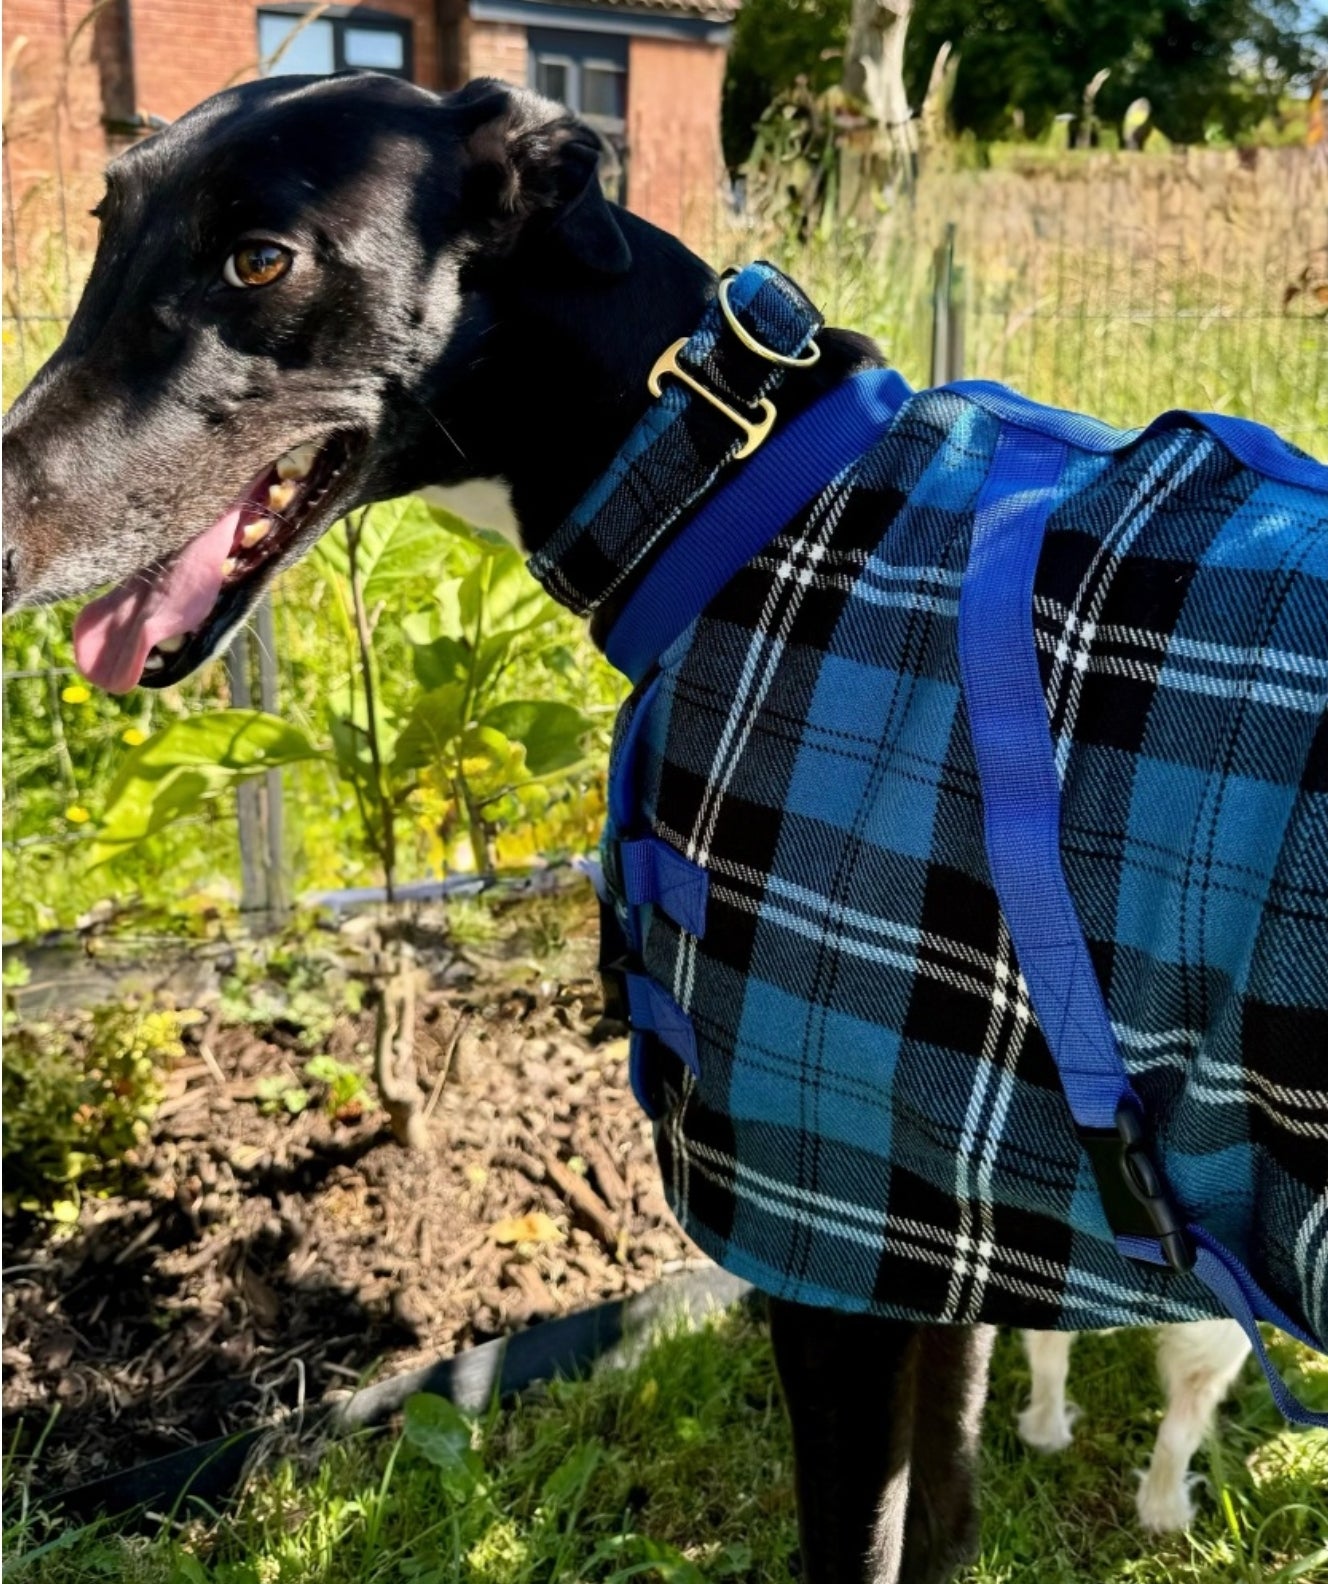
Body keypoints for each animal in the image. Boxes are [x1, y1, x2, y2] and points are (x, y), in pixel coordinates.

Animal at [2, 77, 988, 1584]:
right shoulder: (934, 1204)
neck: (718, 476)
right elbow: (945, 1488)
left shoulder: (829, 1222)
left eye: (260, 262)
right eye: (110, 219)